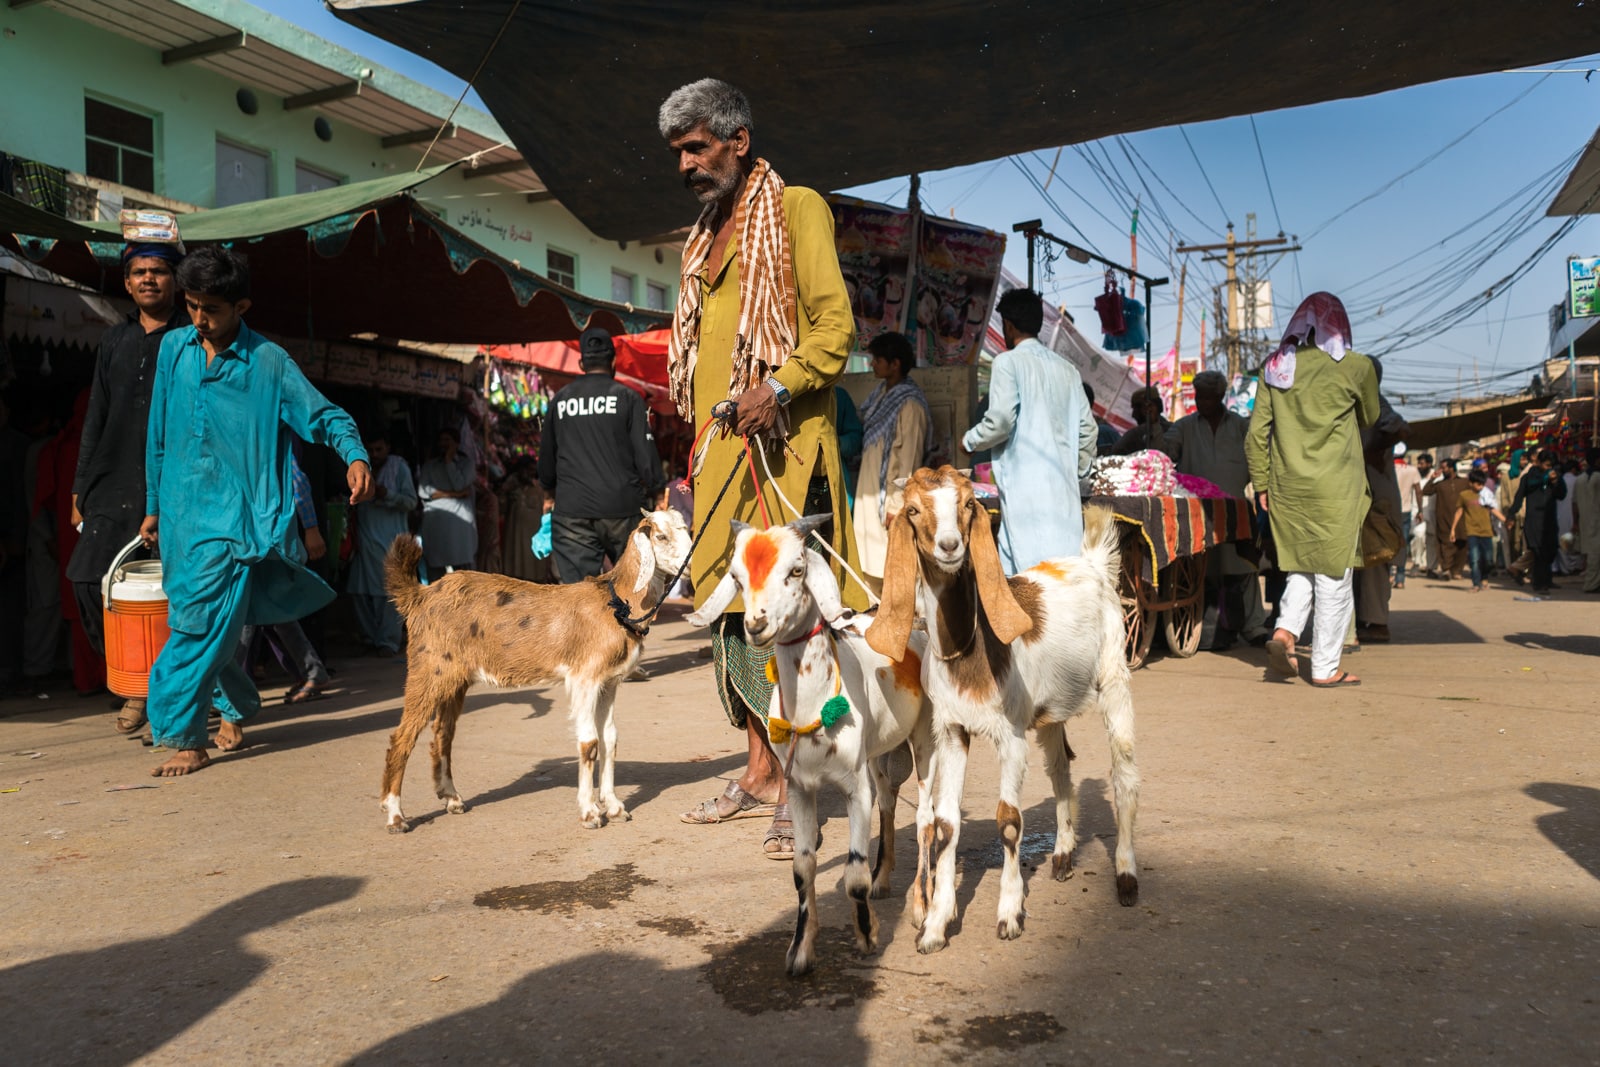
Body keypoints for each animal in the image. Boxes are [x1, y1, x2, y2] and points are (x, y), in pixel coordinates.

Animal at [387, 508, 694, 831]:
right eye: (660, 536)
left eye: (685, 530)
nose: (690, 565)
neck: (615, 601)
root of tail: (420, 596)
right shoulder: (584, 677)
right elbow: (589, 742)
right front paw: (590, 813)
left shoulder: (609, 681)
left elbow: (609, 739)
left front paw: (614, 806)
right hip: (427, 669)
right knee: (402, 738)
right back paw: (395, 816)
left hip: (454, 678)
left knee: (443, 735)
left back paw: (452, 799)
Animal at [688, 515, 934, 979]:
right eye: (737, 577)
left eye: (797, 570)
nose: (755, 625)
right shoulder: (801, 787)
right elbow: (802, 869)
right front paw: (801, 950)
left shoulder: (854, 787)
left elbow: (853, 875)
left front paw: (867, 935)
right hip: (879, 757)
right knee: (890, 803)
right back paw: (884, 880)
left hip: (927, 739)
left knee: (929, 819)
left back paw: (922, 907)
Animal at [864, 463, 1139, 953]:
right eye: (912, 510)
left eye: (968, 504)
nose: (950, 546)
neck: (970, 647)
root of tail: (1089, 563)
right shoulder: (952, 731)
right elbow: (946, 824)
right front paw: (935, 925)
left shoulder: (1009, 735)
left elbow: (1009, 820)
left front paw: (1009, 914)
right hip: (1049, 711)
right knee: (1061, 768)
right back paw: (1063, 854)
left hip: (1113, 676)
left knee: (1123, 771)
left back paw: (1126, 875)